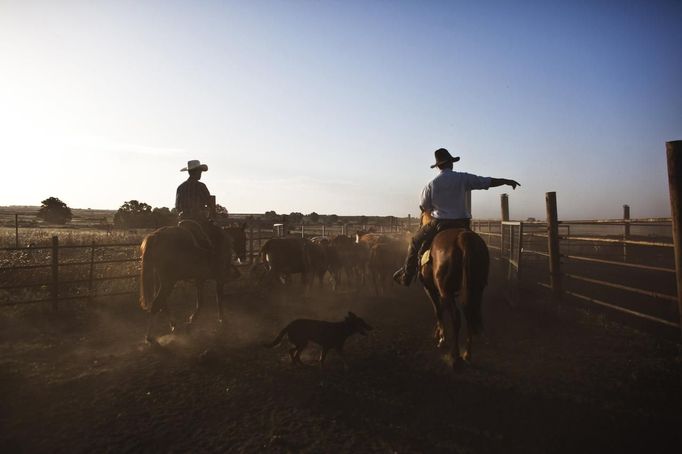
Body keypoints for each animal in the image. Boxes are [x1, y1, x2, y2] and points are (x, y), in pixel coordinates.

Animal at [418, 211, 486, 368]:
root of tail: (462, 238)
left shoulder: (430, 288)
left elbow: (437, 310)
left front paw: (441, 338)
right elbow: (441, 309)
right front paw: (438, 332)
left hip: (446, 291)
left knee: (456, 317)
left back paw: (456, 355)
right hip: (477, 289)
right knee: (469, 313)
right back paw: (467, 354)